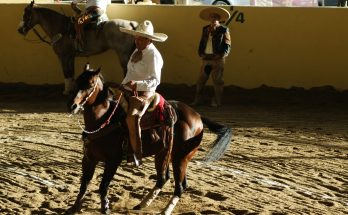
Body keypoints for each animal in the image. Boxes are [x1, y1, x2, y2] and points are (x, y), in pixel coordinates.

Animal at [66, 64, 232, 215]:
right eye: (77, 81)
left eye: (90, 84)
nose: (72, 105)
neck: (104, 120)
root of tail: (197, 116)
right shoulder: (89, 159)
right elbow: (84, 184)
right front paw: (74, 208)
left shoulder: (113, 160)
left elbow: (103, 185)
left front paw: (105, 207)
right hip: (164, 154)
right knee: (164, 179)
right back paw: (142, 204)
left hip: (180, 158)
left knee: (179, 187)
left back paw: (164, 211)